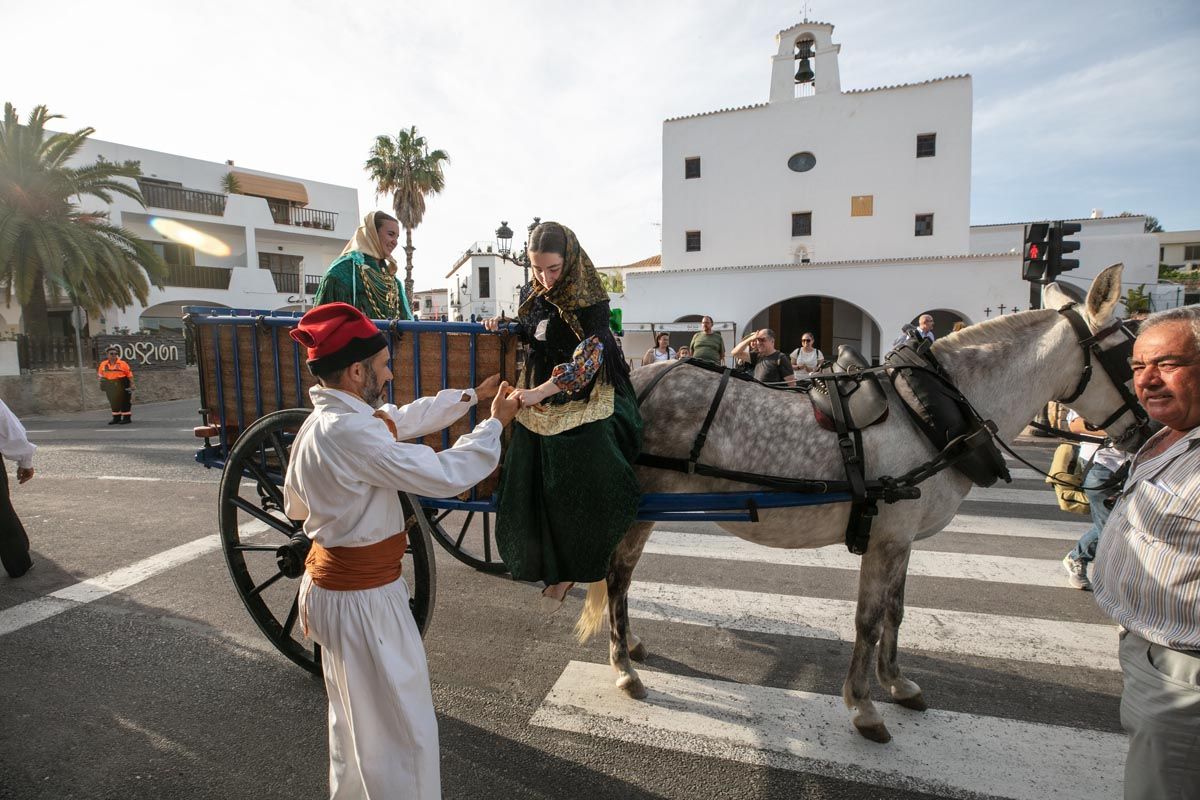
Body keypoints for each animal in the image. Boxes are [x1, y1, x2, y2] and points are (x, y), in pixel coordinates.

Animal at [576, 263, 1147, 743]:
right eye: (1128, 355)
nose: (1146, 431)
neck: (928, 413)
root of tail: (637, 381)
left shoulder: (902, 538)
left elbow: (895, 610)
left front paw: (897, 684)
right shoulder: (886, 535)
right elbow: (868, 620)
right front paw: (863, 706)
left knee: (622, 575)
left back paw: (631, 645)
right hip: (640, 507)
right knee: (617, 575)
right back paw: (624, 667)